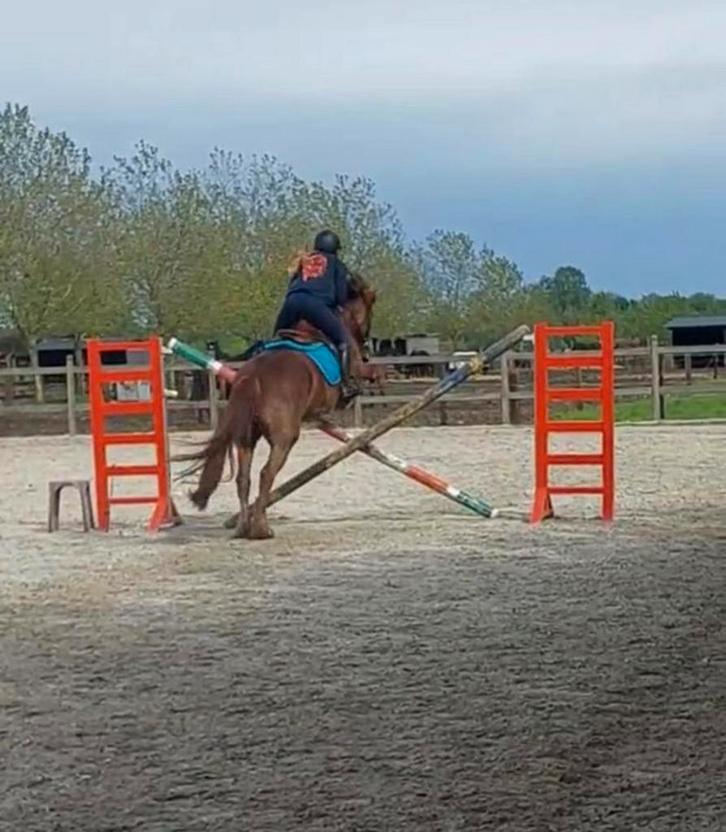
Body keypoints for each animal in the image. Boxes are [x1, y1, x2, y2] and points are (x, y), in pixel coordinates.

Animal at [179, 274, 376, 540]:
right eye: (371, 305)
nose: (366, 350)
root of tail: (253, 376)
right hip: (284, 438)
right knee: (266, 474)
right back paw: (262, 528)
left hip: (246, 437)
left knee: (244, 478)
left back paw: (243, 527)